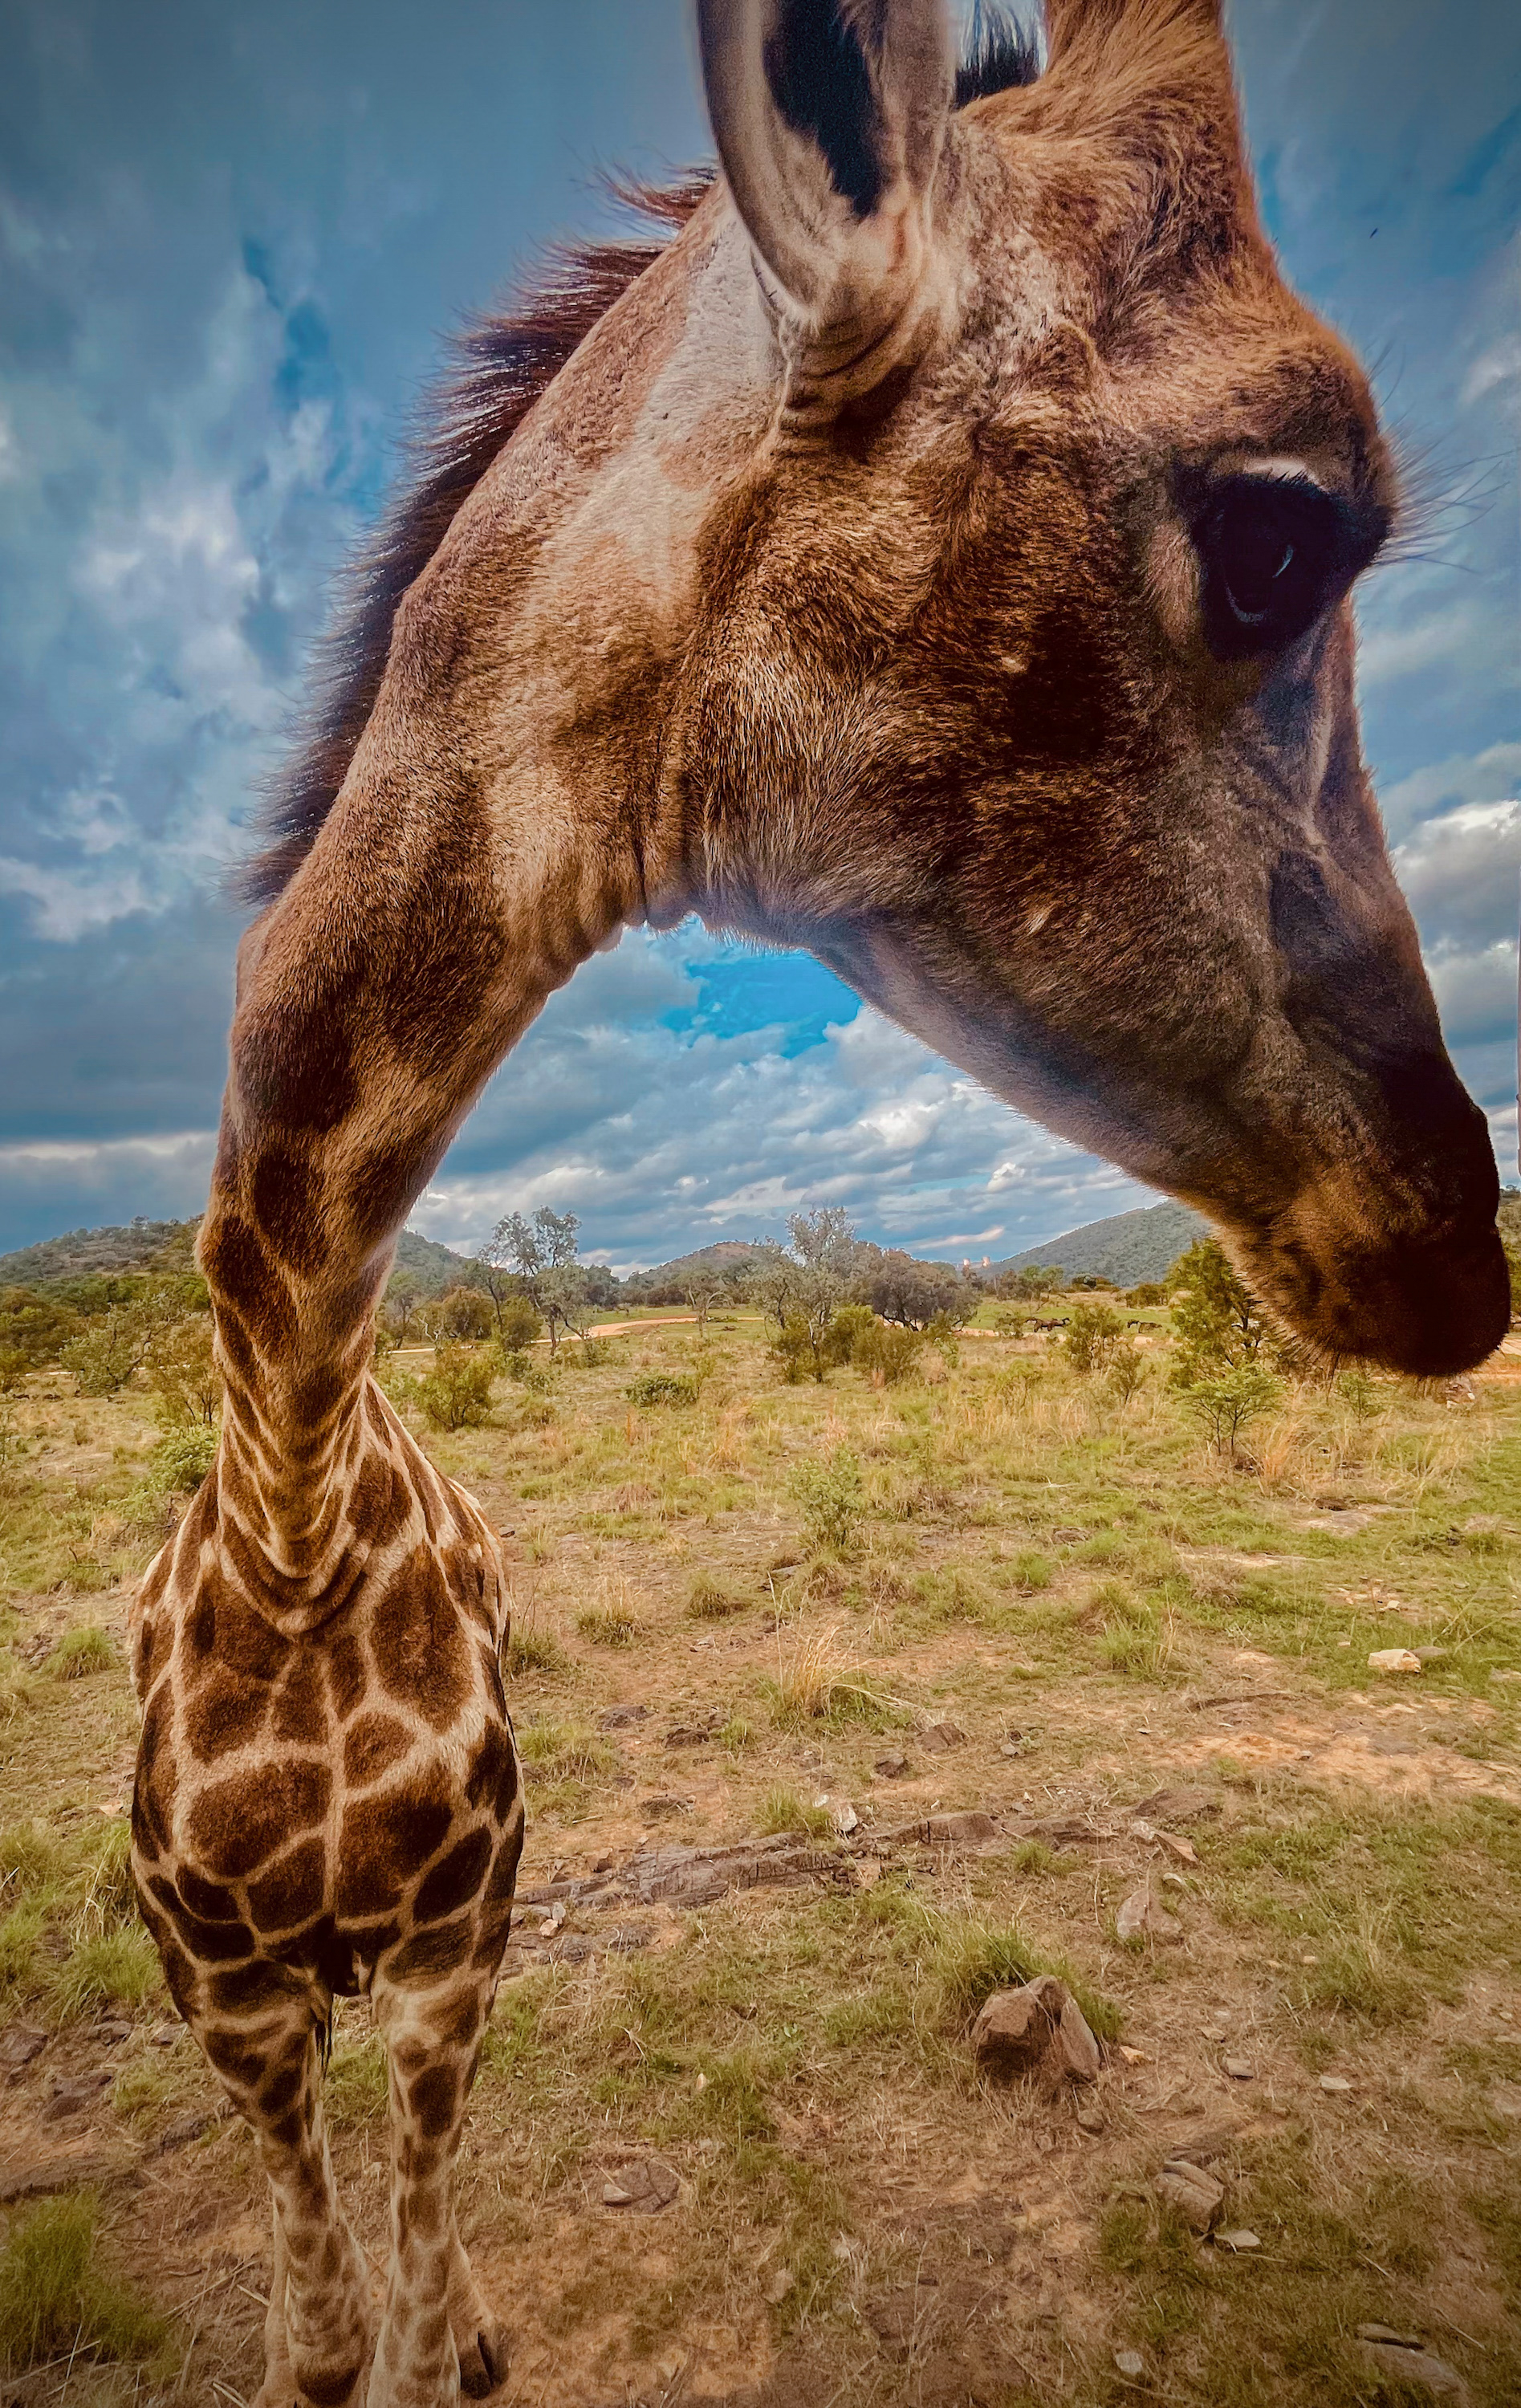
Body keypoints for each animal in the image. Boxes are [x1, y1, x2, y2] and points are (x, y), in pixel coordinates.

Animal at [131, 2, 1507, 2402]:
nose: (1456, 1240)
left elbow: (441, 2313)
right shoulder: (227, 1992)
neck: (290, 1540)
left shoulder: (458, 1942)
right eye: (1277, 528)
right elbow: (314, 2332)